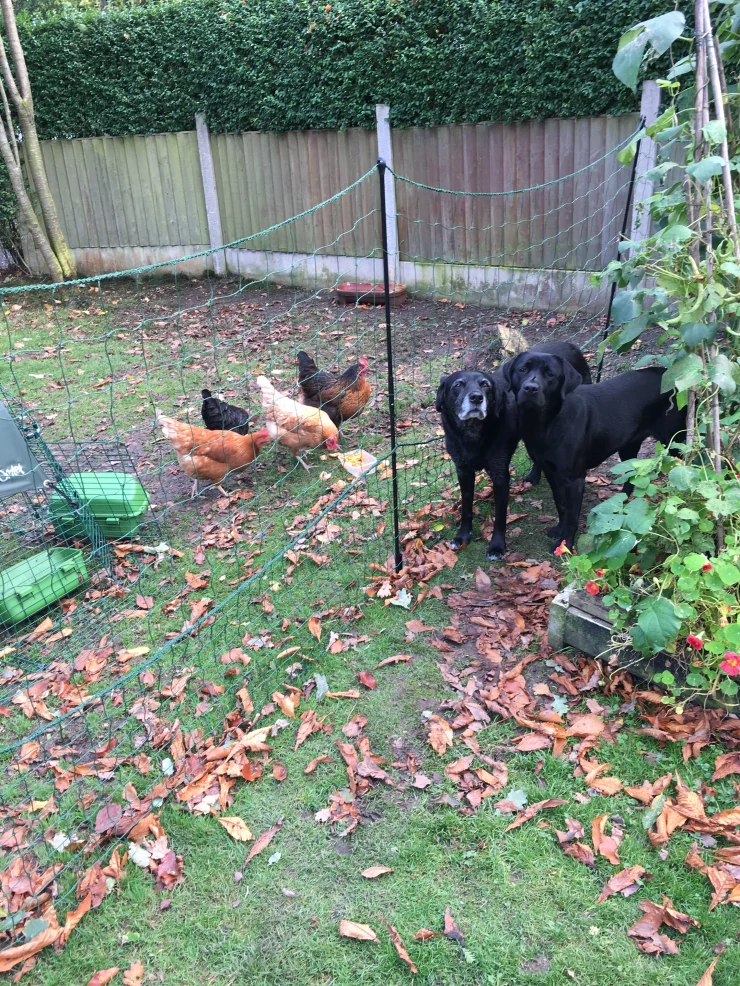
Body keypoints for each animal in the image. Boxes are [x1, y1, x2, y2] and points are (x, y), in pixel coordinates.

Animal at [436, 342, 591, 560]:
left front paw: (497, 546)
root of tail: (572, 346)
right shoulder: (463, 471)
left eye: (485, 385)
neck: (473, 434)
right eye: (458, 384)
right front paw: (463, 535)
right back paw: (533, 477)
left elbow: (500, 515)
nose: (476, 398)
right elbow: (466, 506)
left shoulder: (500, 474)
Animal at [503, 352, 686, 551]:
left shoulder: (574, 479)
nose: (530, 388)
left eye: (550, 374)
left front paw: (565, 545)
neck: (545, 424)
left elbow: (572, 515)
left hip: (676, 442)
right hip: (628, 446)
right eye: (522, 369)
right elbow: (561, 506)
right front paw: (559, 530)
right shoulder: (551, 472)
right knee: (630, 479)